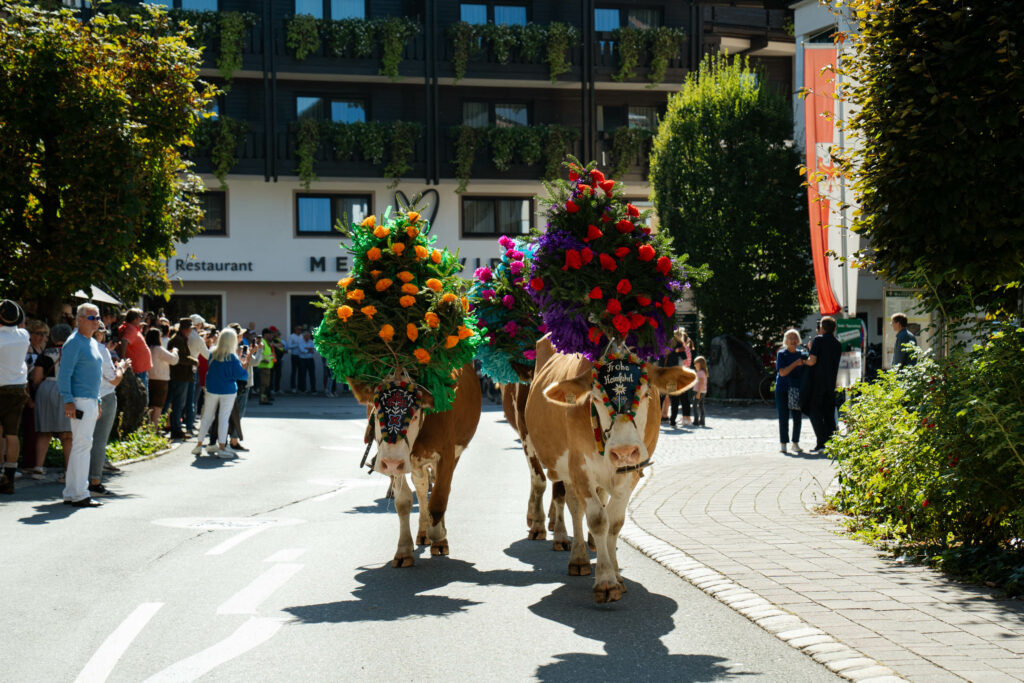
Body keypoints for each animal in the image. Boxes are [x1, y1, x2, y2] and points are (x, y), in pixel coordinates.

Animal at [350, 362, 481, 565]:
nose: (391, 461)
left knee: (437, 489)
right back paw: (423, 532)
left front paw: (439, 536)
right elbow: (403, 502)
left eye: (413, 414)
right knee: (421, 486)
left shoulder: (446, 454)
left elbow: (439, 498)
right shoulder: (397, 461)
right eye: (376, 411)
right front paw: (404, 550)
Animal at [528, 337, 696, 602]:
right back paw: (576, 555)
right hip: (544, 455)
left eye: (646, 393)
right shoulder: (580, 469)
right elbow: (597, 519)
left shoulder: (631, 472)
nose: (624, 450)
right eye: (595, 398)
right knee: (568, 503)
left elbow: (615, 521)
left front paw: (616, 574)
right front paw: (606, 581)